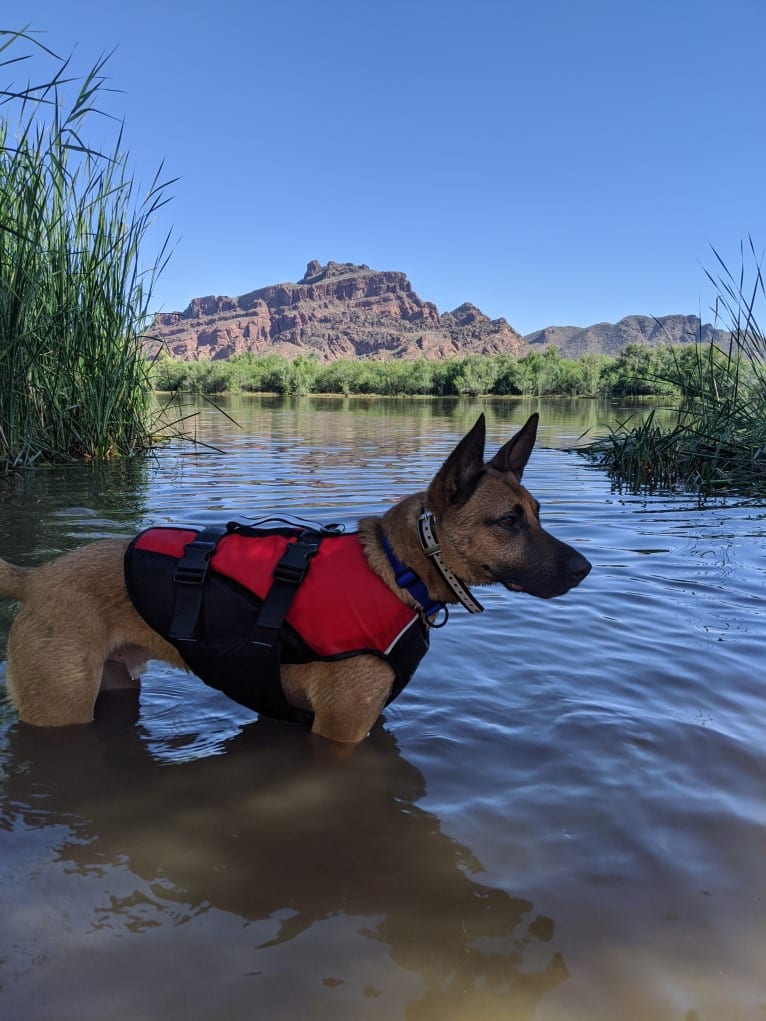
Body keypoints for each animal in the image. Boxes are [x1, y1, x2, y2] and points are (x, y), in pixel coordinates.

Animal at [0, 412, 592, 743]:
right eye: (508, 521)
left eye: (537, 512)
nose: (584, 568)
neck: (400, 570)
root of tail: (35, 578)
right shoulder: (341, 730)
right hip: (60, 708)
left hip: (115, 684)